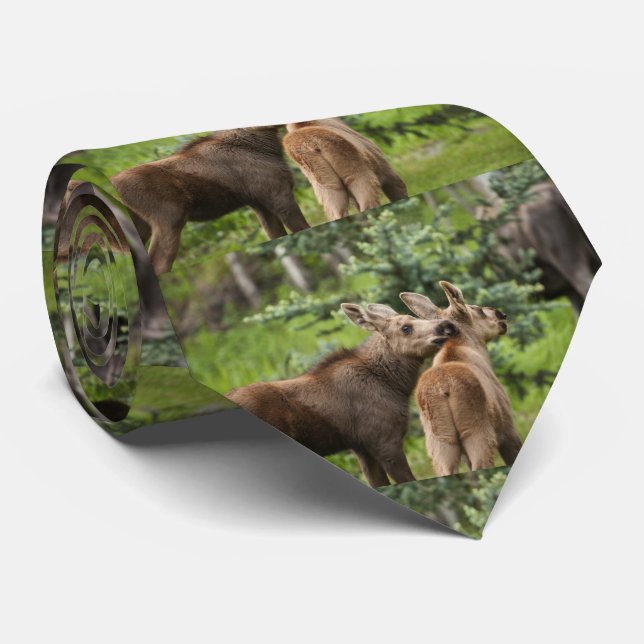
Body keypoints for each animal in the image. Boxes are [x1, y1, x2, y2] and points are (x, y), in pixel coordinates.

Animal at [110, 126, 311, 275]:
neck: (267, 143)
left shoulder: (261, 206)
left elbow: (277, 236)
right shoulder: (279, 196)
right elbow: (302, 228)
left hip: (141, 227)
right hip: (169, 219)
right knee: (159, 265)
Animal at [400, 281, 523, 476]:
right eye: (477, 309)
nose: (501, 314)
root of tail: (443, 389)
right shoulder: (507, 426)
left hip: (441, 442)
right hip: (476, 431)